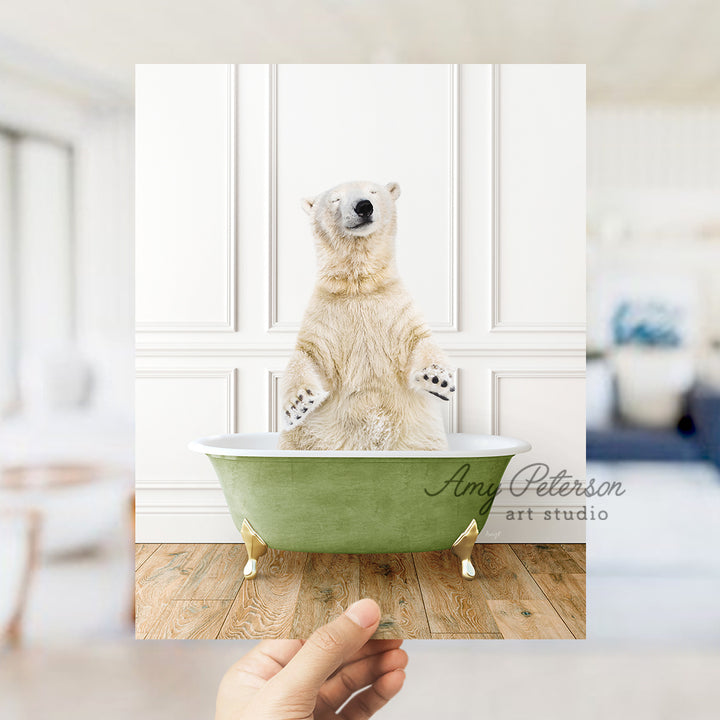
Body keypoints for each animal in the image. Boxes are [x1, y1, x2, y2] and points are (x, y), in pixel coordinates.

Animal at [280, 180, 456, 450]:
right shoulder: (326, 316)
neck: (359, 284)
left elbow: (419, 340)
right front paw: (299, 403)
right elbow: (308, 356)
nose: (364, 206)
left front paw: (437, 379)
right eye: (335, 199)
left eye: (373, 191)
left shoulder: (396, 307)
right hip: (305, 439)